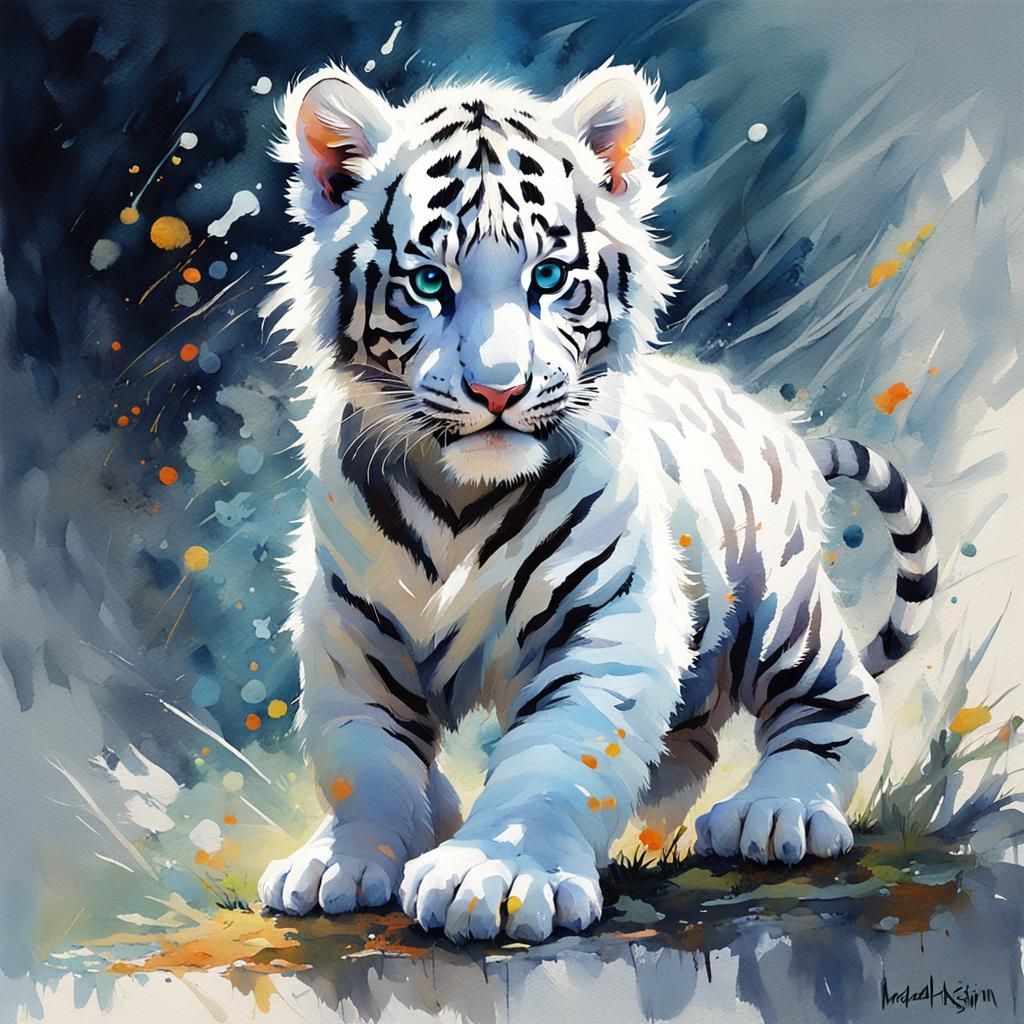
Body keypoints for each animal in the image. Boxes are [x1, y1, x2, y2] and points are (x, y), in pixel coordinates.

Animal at [256, 62, 938, 944]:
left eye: (548, 277)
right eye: (429, 282)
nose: (498, 390)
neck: (460, 498)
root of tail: (774, 426)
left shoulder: (604, 618)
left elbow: (559, 748)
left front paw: (497, 874)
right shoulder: (352, 626)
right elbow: (362, 757)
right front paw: (342, 862)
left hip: (780, 606)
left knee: (834, 699)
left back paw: (777, 812)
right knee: (686, 744)